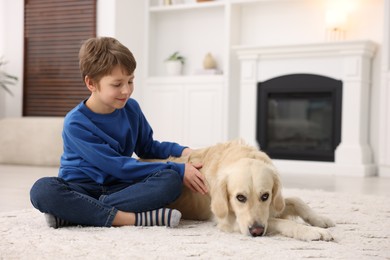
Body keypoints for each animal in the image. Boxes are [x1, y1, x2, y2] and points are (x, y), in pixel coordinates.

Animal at [142, 140, 334, 242]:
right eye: (240, 198)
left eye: (265, 196)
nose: (256, 231)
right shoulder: (230, 221)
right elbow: (277, 221)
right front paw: (310, 231)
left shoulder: (272, 204)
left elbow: (297, 200)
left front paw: (320, 220)